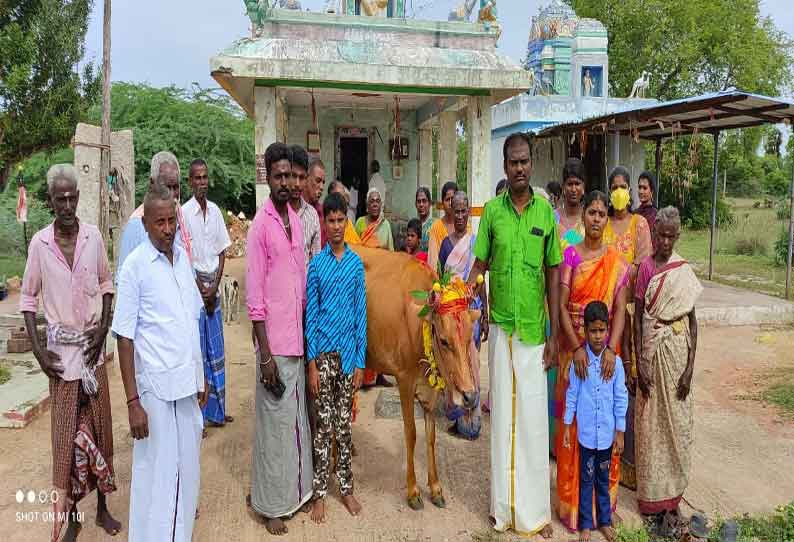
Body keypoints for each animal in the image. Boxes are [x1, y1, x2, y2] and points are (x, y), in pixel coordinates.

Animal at [352, 245, 476, 510]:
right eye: (444, 341)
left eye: (469, 338)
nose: (469, 396)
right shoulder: (404, 379)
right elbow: (411, 434)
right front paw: (412, 491)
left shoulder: (430, 389)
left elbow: (431, 436)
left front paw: (436, 488)